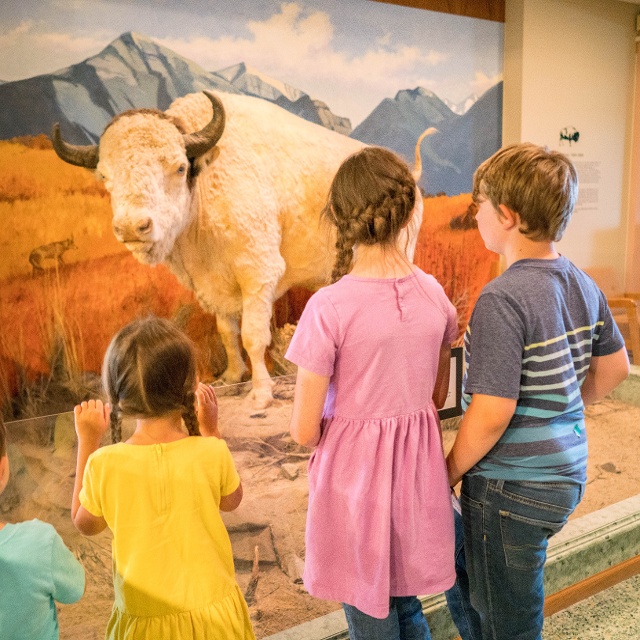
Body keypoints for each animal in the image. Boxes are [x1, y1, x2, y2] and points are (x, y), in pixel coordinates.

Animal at [52, 91, 428, 404]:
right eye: (104, 176)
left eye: (179, 167)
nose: (133, 227)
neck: (207, 180)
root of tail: (409, 175)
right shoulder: (213, 282)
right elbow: (226, 332)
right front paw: (231, 377)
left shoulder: (258, 275)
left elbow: (252, 336)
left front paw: (261, 394)